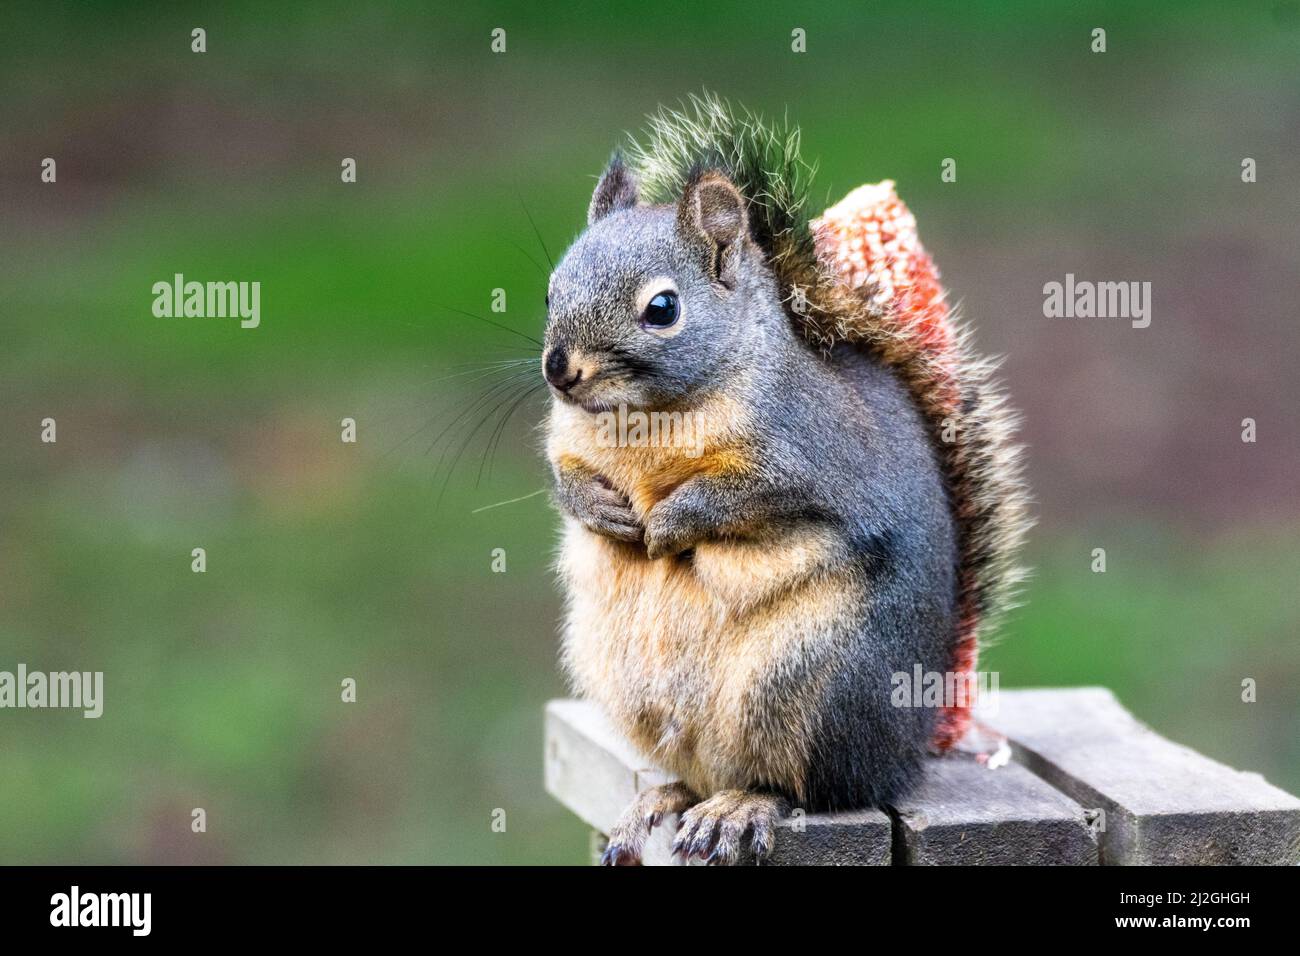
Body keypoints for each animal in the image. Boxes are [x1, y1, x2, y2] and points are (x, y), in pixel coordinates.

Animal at [542, 95, 1030, 865]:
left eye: (662, 309)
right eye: (550, 289)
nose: (559, 370)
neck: (644, 418)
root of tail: (908, 744)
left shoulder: (806, 455)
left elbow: (744, 499)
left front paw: (670, 522)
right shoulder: (567, 443)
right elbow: (566, 479)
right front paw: (601, 510)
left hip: (805, 680)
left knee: (813, 787)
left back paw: (744, 804)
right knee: (701, 771)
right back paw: (662, 797)